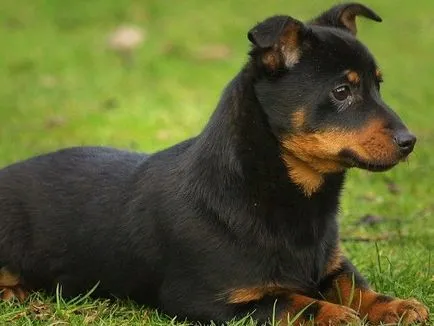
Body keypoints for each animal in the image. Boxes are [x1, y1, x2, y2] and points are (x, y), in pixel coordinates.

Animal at [0, 3, 428, 326]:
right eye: (342, 92)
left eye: (378, 86)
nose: (410, 142)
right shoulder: (210, 300)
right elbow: (290, 302)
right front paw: (333, 314)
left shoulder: (332, 266)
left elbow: (357, 288)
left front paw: (395, 306)